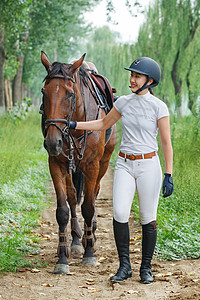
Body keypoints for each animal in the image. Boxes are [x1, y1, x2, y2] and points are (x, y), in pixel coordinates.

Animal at [39, 51, 116, 274]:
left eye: (70, 94)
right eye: (44, 92)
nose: (52, 142)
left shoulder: (92, 166)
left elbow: (89, 207)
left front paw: (89, 253)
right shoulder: (56, 164)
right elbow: (63, 210)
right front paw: (62, 257)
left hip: (104, 162)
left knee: (95, 193)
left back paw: (92, 234)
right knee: (73, 197)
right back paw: (74, 241)